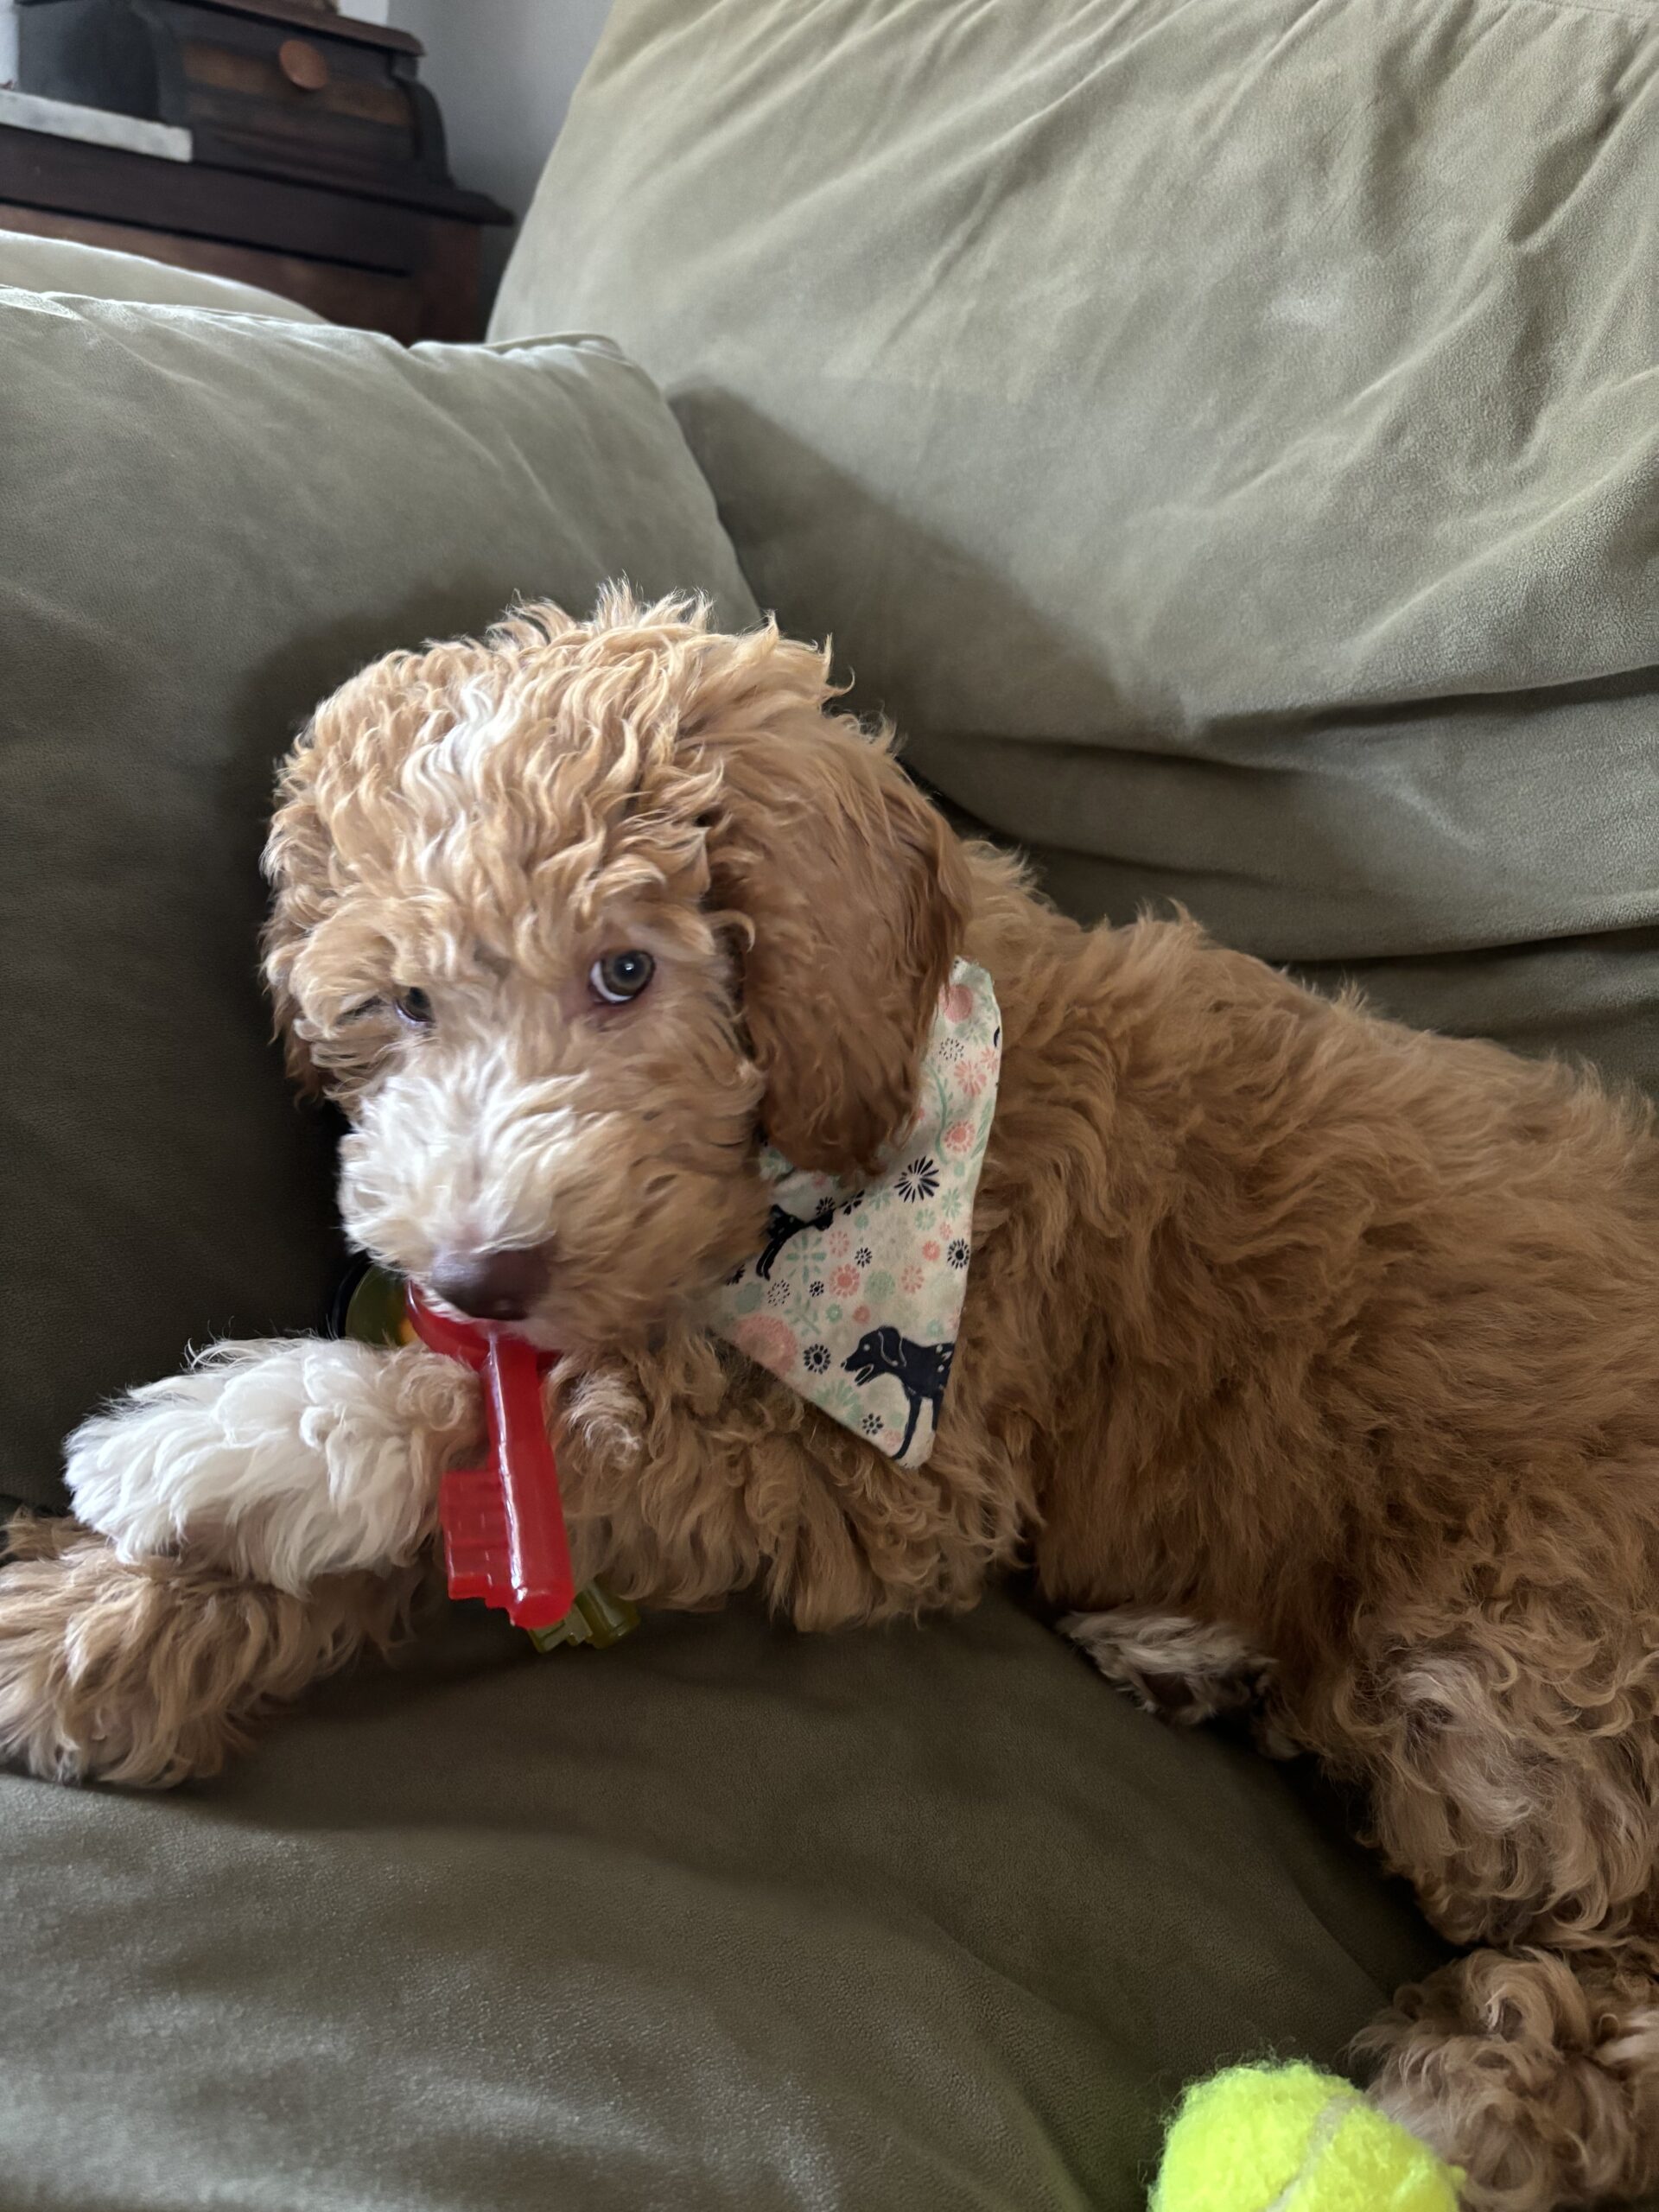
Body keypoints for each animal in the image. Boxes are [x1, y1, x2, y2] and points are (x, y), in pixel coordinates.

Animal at [3, 593, 1659, 2212]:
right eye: (403, 1003)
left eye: (627, 970)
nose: (475, 1274)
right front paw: (91, 1626)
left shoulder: (901, 1462)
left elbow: (578, 1431)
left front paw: (254, 1438)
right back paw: (1185, 1655)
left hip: (1505, 1649)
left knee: (1614, 1939)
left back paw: (1472, 2102)